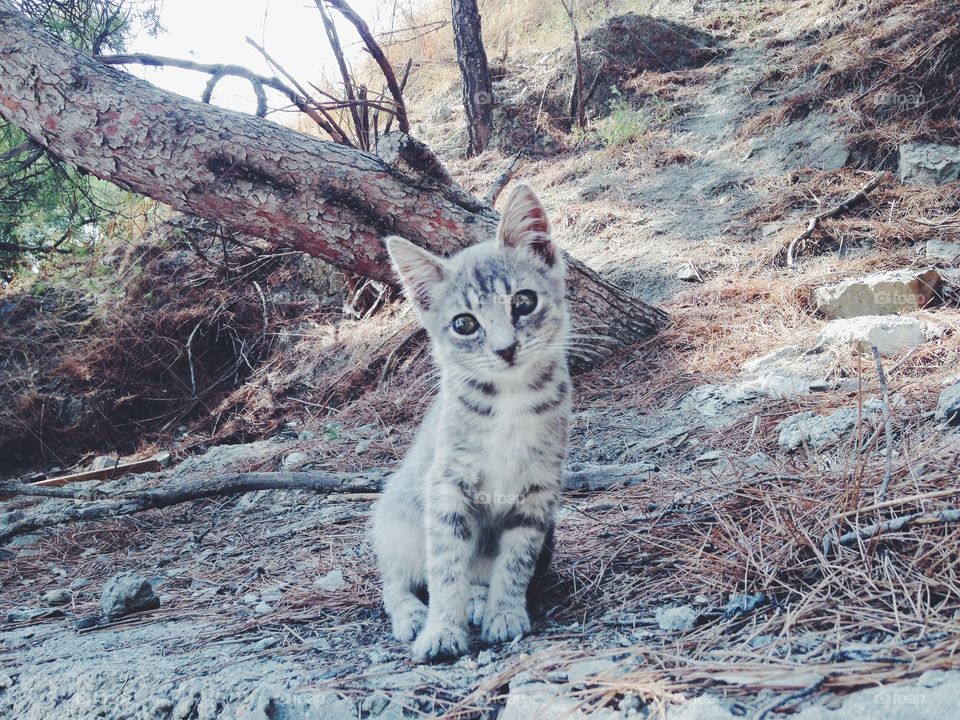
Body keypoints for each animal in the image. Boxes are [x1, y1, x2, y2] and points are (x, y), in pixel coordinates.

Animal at [372, 183, 568, 660]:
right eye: (464, 324)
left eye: (523, 301)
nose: (505, 348)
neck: (510, 400)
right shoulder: (447, 487)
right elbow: (445, 569)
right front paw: (442, 628)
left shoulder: (538, 492)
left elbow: (515, 563)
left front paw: (504, 612)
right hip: (396, 520)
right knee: (393, 580)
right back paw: (411, 614)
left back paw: (480, 599)